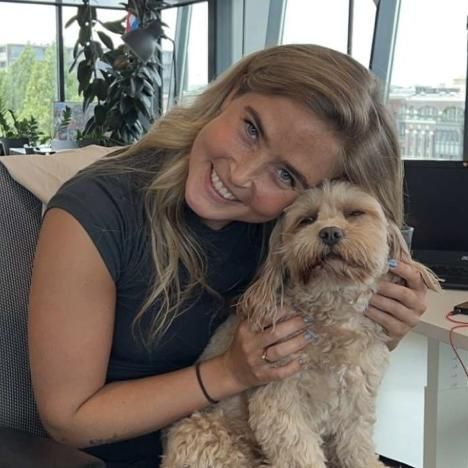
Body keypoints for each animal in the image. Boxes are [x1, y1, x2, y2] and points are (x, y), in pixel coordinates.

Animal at [161, 180, 440, 468]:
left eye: (354, 213)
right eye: (307, 220)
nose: (330, 233)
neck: (333, 310)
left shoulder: (356, 401)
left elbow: (358, 447)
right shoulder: (279, 403)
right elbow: (300, 453)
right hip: (200, 433)